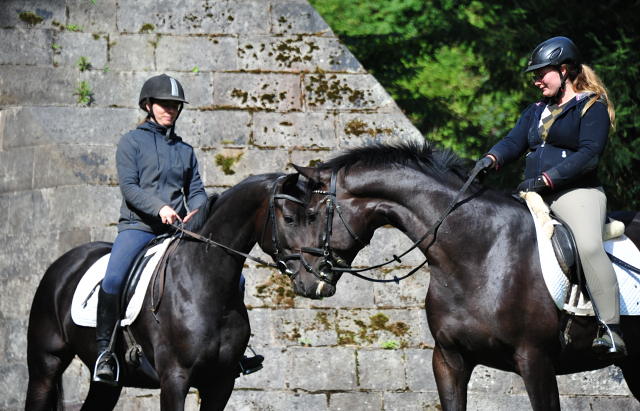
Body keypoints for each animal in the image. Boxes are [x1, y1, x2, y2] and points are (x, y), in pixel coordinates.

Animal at [22, 172, 308, 410]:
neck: (204, 283)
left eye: (314, 217)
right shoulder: (174, 379)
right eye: (290, 219)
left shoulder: (221, 383)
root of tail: (63, 263)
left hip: (107, 386)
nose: (311, 276)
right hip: (44, 368)